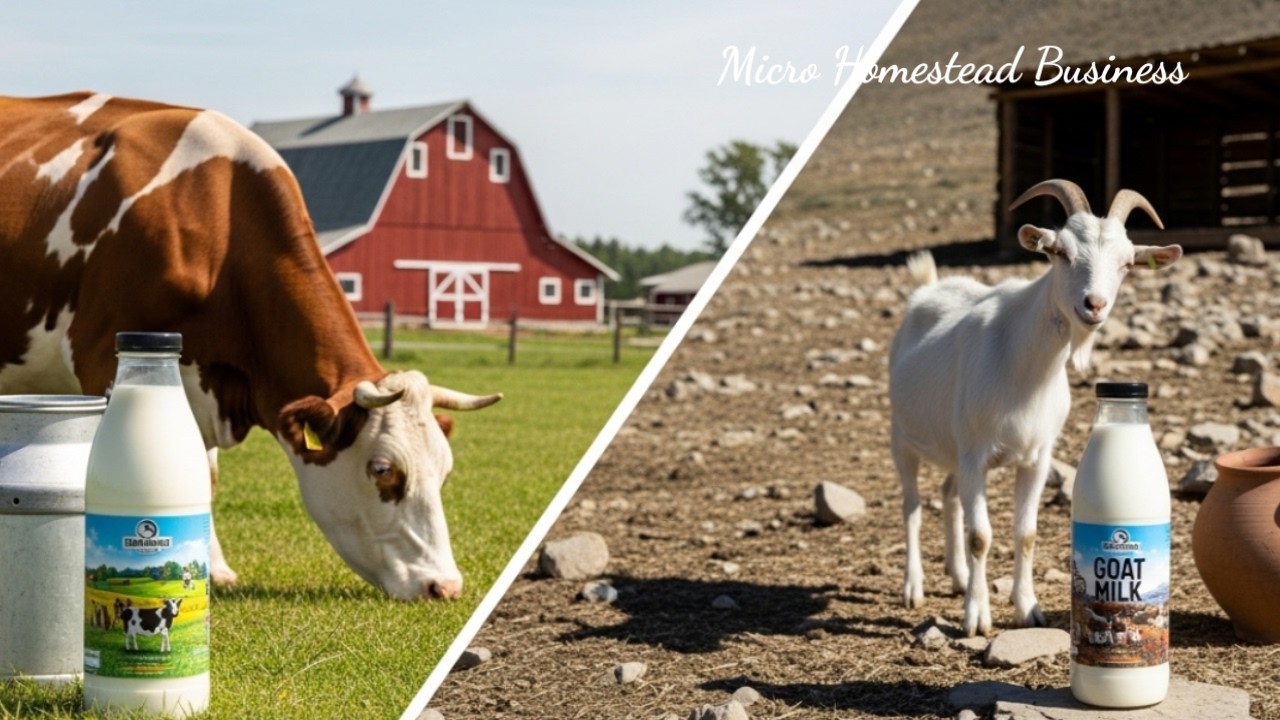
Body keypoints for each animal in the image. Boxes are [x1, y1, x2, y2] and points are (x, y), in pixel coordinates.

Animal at [0, 93, 501, 601]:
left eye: (445, 470)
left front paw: (215, 568)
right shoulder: (101, 357)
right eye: (382, 470)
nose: (444, 586)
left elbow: (204, 476)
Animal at [887, 178, 1181, 637]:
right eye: (1059, 252)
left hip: (953, 450)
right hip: (902, 437)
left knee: (949, 495)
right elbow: (980, 536)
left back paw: (958, 577)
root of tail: (928, 287)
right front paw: (977, 617)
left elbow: (1026, 532)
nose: (1094, 305)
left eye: (1127, 263)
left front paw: (1028, 608)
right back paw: (913, 587)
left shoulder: (1036, 458)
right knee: (912, 508)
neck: (1024, 366)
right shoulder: (975, 455)